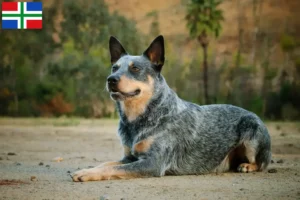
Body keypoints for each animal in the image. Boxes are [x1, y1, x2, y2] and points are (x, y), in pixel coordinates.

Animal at [71, 35, 272, 182]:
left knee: (262, 163)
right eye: (114, 67)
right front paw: (87, 168)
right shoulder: (130, 157)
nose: (111, 79)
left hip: (251, 131)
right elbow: (107, 163)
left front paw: (87, 173)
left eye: (135, 68)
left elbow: (115, 167)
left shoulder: (153, 162)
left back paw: (247, 166)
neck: (140, 117)